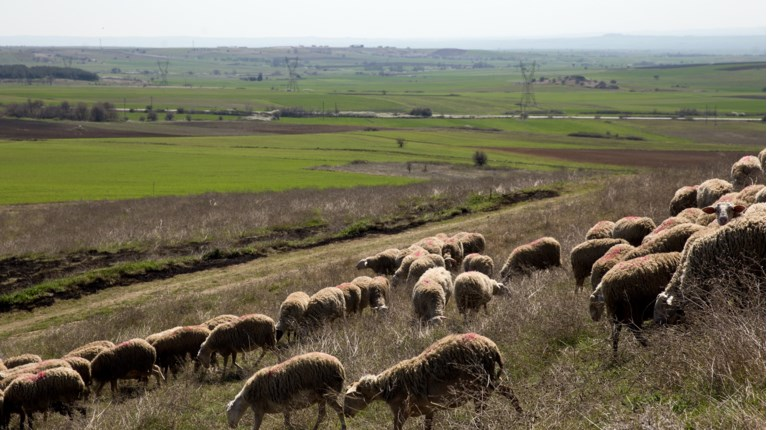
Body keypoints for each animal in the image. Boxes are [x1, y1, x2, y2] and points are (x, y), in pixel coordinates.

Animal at [344, 333, 522, 430]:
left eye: (350, 398)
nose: (345, 413)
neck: (388, 387)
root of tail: (491, 346)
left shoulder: (402, 410)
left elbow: (396, 427)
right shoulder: (429, 409)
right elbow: (427, 426)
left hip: (480, 381)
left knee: (486, 404)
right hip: (488, 379)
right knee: (506, 392)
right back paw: (520, 414)